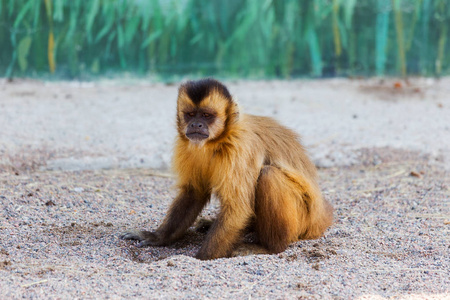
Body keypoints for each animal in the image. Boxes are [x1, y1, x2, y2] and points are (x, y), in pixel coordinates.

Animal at [121, 78, 332, 258]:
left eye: (207, 115)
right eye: (190, 114)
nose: (196, 124)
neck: (218, 141)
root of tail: (320, 217)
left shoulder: (240, 148)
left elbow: (237, 208)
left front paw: (202, 258)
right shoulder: (187, 146)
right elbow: (194, 193)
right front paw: (158, 237)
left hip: (303, 220)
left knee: (268, 175)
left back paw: (270, 247)